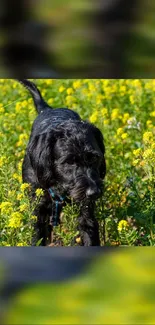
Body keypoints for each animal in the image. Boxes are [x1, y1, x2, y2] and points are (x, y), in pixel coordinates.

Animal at [17, 79, 106, 246]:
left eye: (94, 158)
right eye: (69, 162)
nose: (94, 192)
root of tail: (48, 109)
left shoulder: (85, 211)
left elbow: (88, 231)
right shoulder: (38, 210)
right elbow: (37, 236)